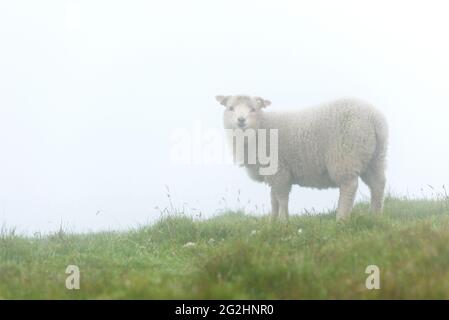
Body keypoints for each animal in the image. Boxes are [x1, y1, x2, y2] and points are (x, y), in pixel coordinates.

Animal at [215, 94, 386, 221]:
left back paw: (341, 218)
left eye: (253, 109)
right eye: (230, 108)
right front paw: (272, 221)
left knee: (349, 186)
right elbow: (273, 199)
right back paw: (375, 215)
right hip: (375, 157)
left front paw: (283, 221)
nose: (241, 120)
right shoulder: (272, 174)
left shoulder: (280, 171)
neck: (260, 128)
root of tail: (374, 118)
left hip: (345, 155)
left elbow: (281, 198)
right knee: (378, 184)